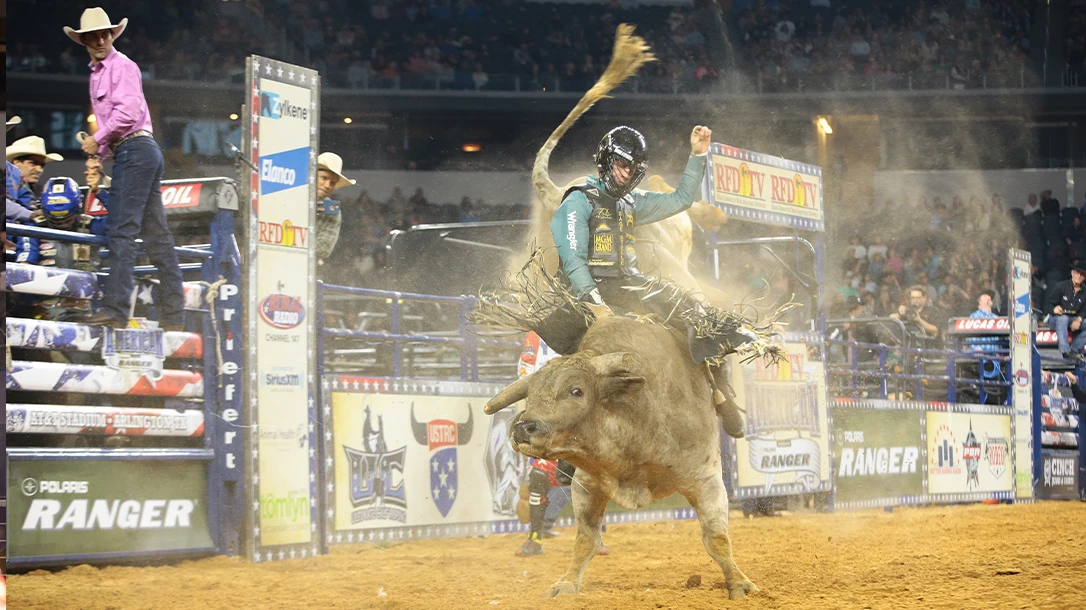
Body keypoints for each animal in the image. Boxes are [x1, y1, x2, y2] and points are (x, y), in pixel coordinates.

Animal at [484, 314, 755, 594]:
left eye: (576, 390)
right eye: (530, 394)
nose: (522, 427)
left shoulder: (706, 479)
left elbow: (717, 538)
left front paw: (739, 583)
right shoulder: (587, 483)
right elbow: (585, 540)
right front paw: (567, 582)